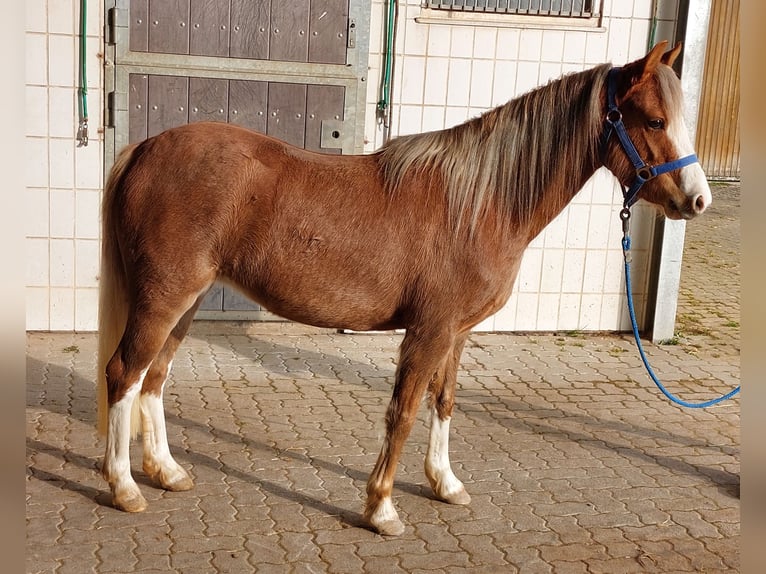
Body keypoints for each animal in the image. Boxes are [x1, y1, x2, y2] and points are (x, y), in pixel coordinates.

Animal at [97, 42, 712, 536]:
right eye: (654, 120)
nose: (698, 199)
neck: (480, 204)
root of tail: (145, 149)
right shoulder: (428, 331)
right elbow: (405, 412)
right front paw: (382, 509)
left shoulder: (456, 333)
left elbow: (444, 402)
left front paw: (445, 483)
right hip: (163, 298)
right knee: (124, 375)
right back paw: (124, 488)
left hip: (187, 301)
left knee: (154, 378)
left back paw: (166, 473)